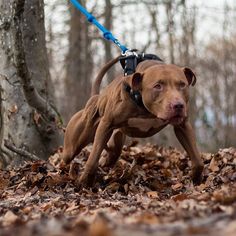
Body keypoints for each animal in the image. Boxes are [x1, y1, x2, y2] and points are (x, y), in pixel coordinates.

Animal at [61, 56, 204, 186]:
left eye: (182, 85)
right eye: (157, 86)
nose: (178, 105)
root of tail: (96, 96)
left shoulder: (183, 126)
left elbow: (198, 161)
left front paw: (194, 178)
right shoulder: (106, 125)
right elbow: (93, 157)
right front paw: (85, 181)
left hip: (117, 138)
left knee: (113, 151)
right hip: (74, 144)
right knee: (68, 156)